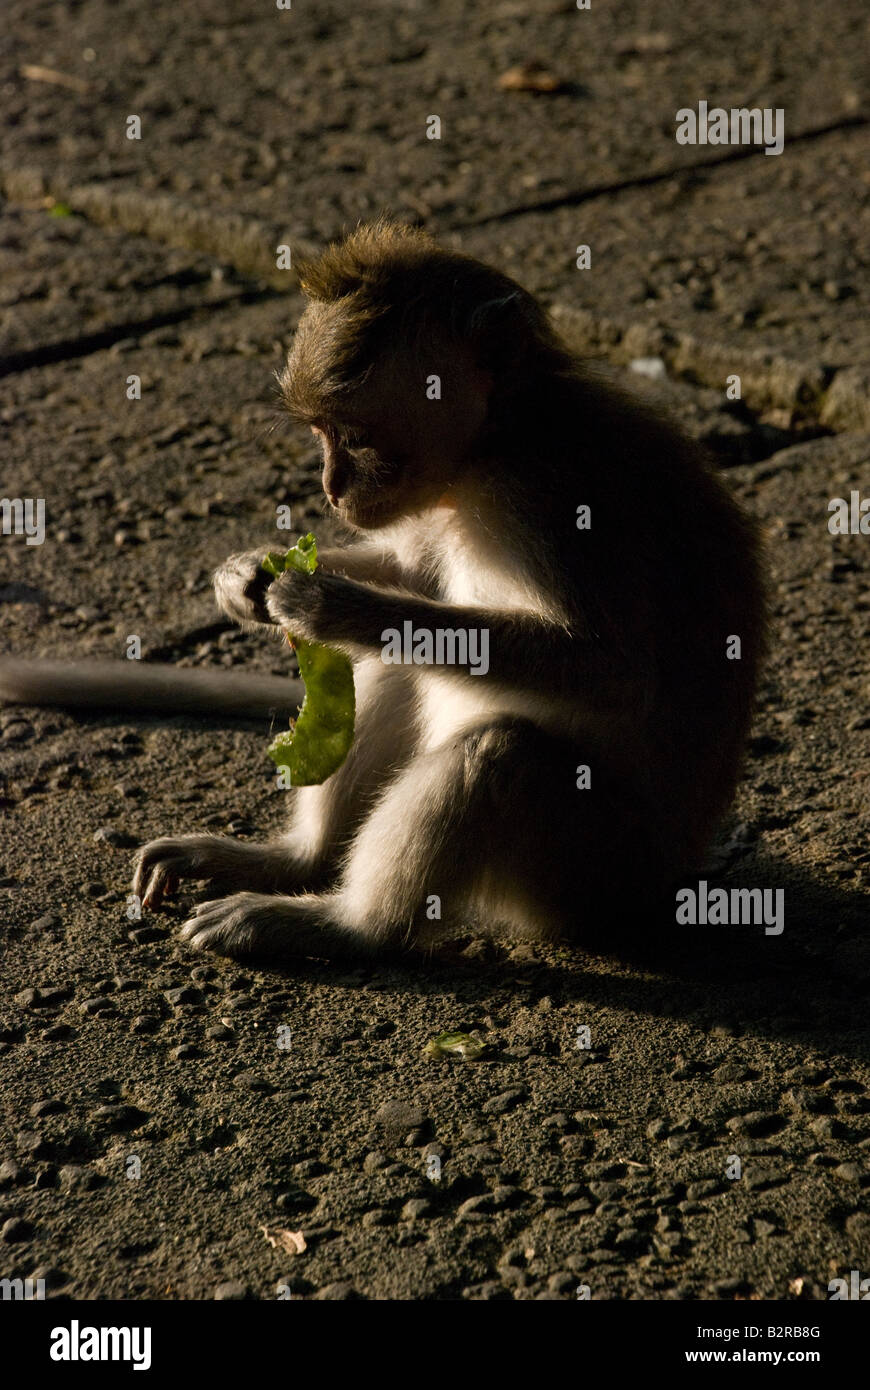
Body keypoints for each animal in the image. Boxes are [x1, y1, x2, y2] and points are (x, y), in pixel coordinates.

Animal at [0, 222, 761, 961]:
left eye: (355, 436)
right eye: (318, 432)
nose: (330, 488)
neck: (493, 445)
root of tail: (659, 886)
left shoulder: (553, 500)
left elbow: (612, 669)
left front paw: (329, 605)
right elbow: (416, 575)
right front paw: (245, 578)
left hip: (583, 871)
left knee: (497, 751)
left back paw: (348, 925)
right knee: (398, 670)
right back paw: (295, 864)